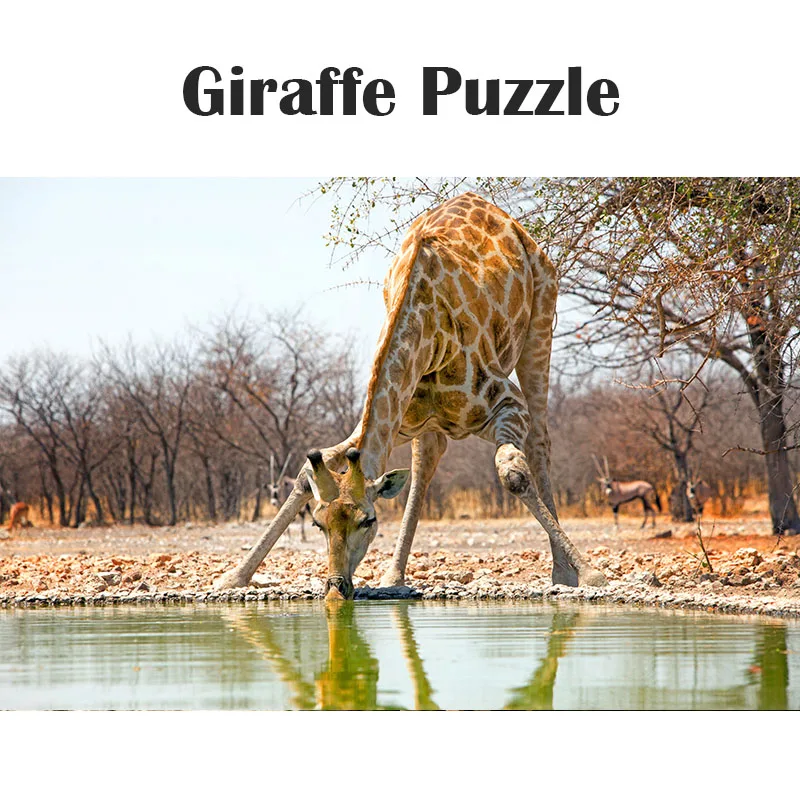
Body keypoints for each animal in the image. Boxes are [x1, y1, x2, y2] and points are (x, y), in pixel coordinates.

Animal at [214, 192, 607, 599]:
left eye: (369, 521)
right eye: (319, 523)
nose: (337, 587)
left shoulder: (505, 404)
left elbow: (513, 474)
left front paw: (590, 574)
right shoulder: (396, 420)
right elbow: (307, 472)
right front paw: (233, 577)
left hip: (542, 320)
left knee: (540, 441)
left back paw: (562, 573)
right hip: (428, 422)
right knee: (426, 462)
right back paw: (394, 575)